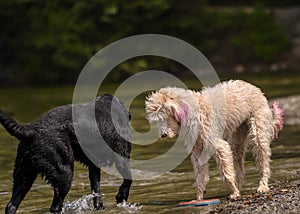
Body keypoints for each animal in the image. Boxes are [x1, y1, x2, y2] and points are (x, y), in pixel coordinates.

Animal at [0, 94, 131, 214]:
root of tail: (30, 130)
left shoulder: (94, 167)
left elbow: (96, 190)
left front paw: (100, 207)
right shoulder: (121, 159)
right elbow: (128, 180)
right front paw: (121, 197)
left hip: (24, 176)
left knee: (11, 206)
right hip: (65, 173)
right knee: (55, 207)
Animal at [145, 80, 284, 199]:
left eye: (164, 117)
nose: (163, 135)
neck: (193, 111)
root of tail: (255, 88)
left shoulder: (217, 144)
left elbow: (225, 172)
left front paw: (233, 192)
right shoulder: (197, 150)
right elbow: (199, 176)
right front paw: (199, 198)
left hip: (258, 130)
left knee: (263, 159)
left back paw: (262, 186)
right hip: (238, 135)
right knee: (239, 163)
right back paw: (239, 186)